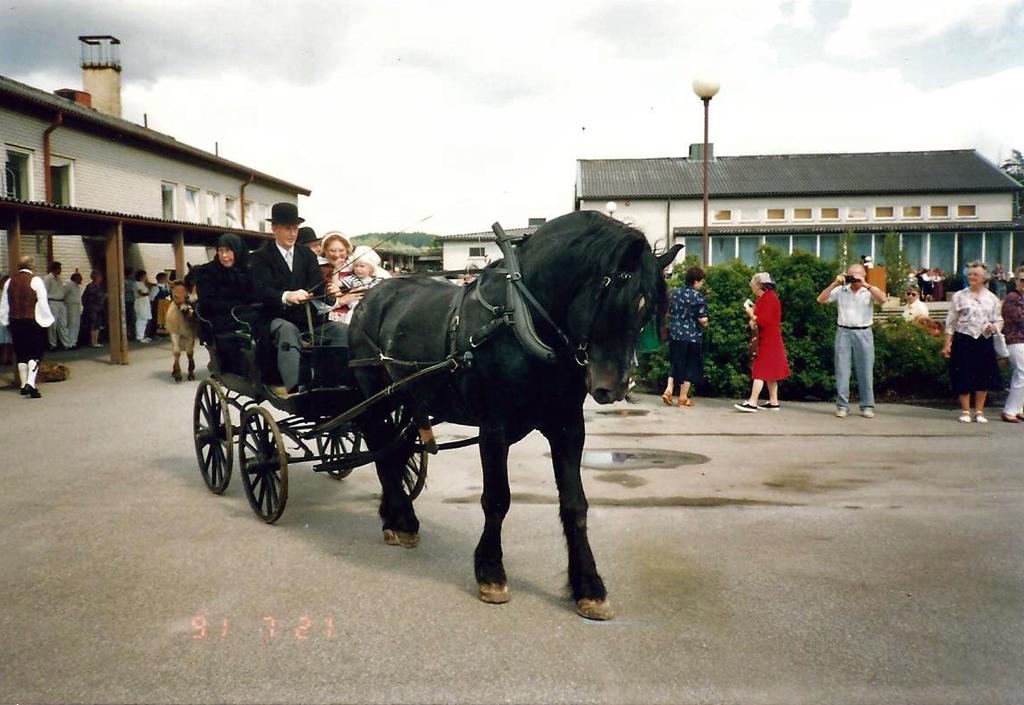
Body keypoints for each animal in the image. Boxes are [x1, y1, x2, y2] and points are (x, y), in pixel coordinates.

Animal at [350, 212, 679, 618]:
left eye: (646, 312)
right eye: (608, 298)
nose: (611, 388)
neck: (523, 323)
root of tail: (370, 296)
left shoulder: (569, 427)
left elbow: (575, 504)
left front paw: (589, 586)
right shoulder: (494, 428)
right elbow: (497, 499)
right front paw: (491, 572)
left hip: (410, 399)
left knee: (395, 451)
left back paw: (399, 518)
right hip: (374, 398)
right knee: (382, 453)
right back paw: (401, 519)